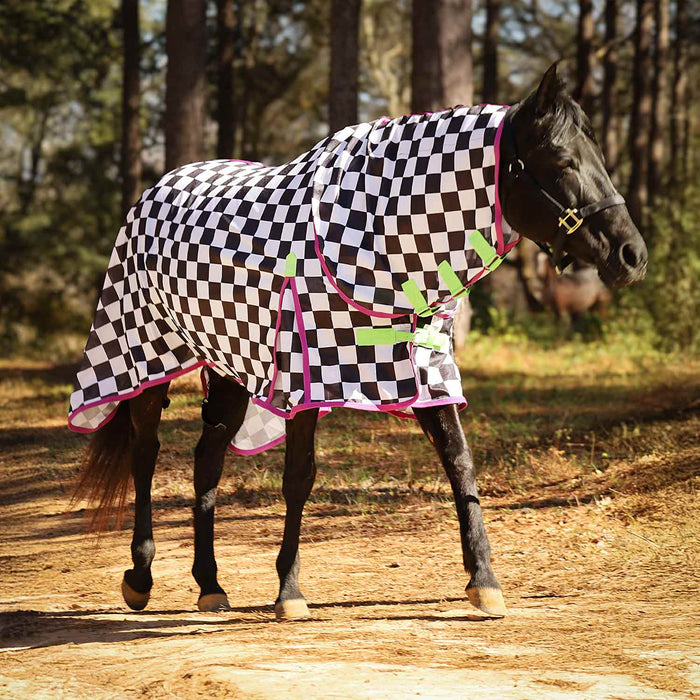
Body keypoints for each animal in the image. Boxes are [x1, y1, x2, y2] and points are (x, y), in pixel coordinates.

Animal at [71, 63, 647, 620]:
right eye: (563, 160)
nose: (632, 255)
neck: (378, 242)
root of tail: (156, 189)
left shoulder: (425, 372)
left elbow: (460, 463)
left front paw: (484, 582)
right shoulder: (306, 378)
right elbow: (298, 477)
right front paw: (289, 591)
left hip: (231, 365)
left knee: (206, 460)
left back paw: (210, 585)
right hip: (147, 355)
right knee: (146, 451)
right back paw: (141, 578)